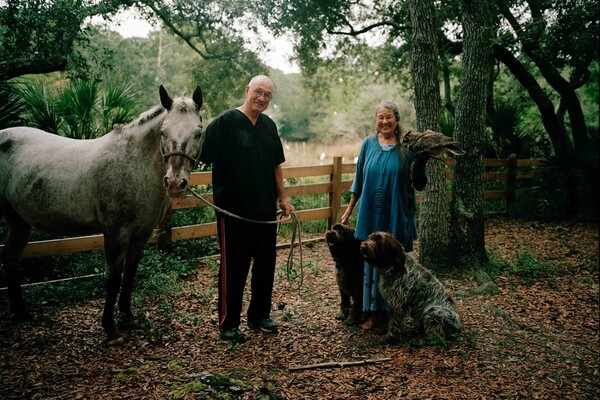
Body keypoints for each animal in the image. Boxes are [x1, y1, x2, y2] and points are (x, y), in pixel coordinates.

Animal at [0, 85, 204, 340]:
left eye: (198, 133)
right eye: (163, 132)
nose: (175, 183)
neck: (134, 165)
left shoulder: (142, 234)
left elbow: (130, 274)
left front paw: (127, 315)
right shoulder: (116, 234)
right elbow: (113, 278)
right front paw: (109, 325)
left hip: (19, 222)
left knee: (10, 258)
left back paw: (21, 311)